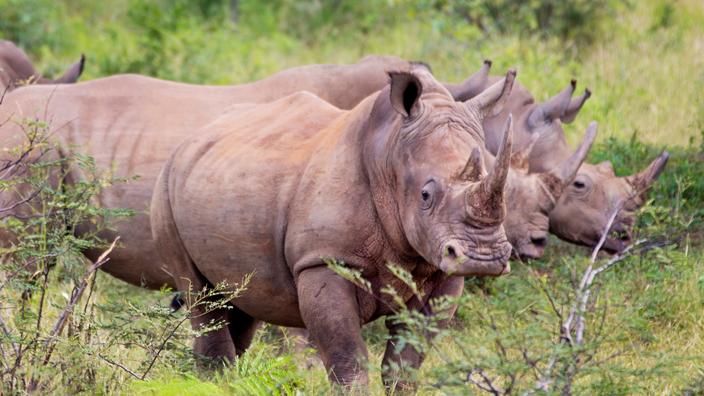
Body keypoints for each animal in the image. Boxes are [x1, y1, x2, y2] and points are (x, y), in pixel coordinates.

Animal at [150, 67, 512, 384]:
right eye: (425, 195)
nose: (484, 258)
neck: (389, 155)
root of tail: (191, 139)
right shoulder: (323, 261)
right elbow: (347, 358)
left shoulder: (441, 270)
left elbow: (406, 363)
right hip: (165, 187)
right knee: (201, 298)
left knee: (240, 303)